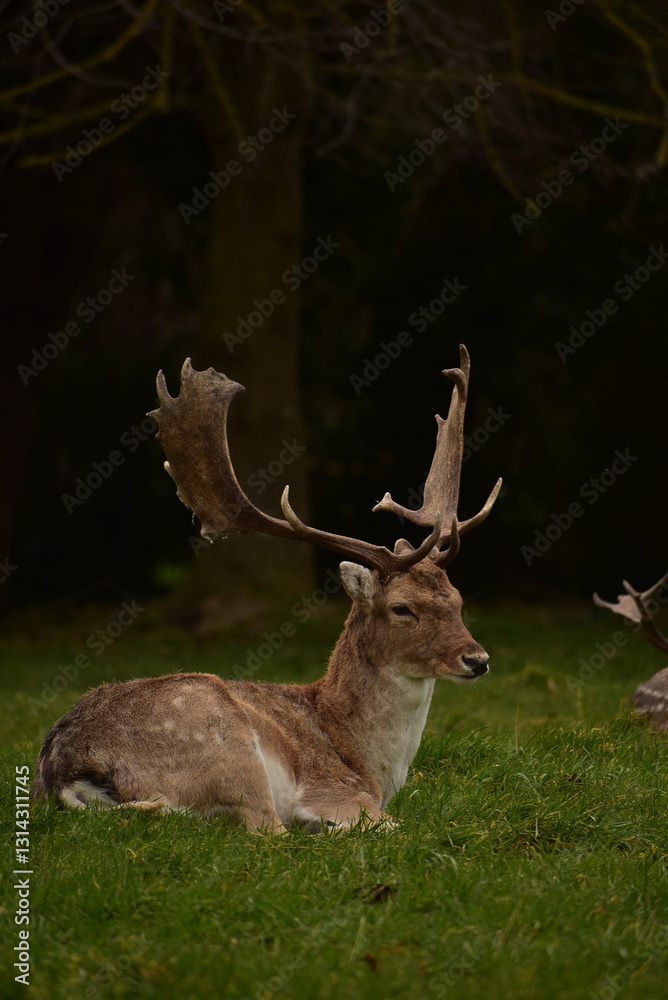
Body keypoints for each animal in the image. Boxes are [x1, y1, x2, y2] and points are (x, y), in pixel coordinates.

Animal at [31, 345, 502, 832]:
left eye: (458, 600)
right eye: (402, 608)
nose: (478, 659)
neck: (369, 763)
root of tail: (64, 773)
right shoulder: (336, 789)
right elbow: (396, 826)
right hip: (223, 740)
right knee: (266, 830)